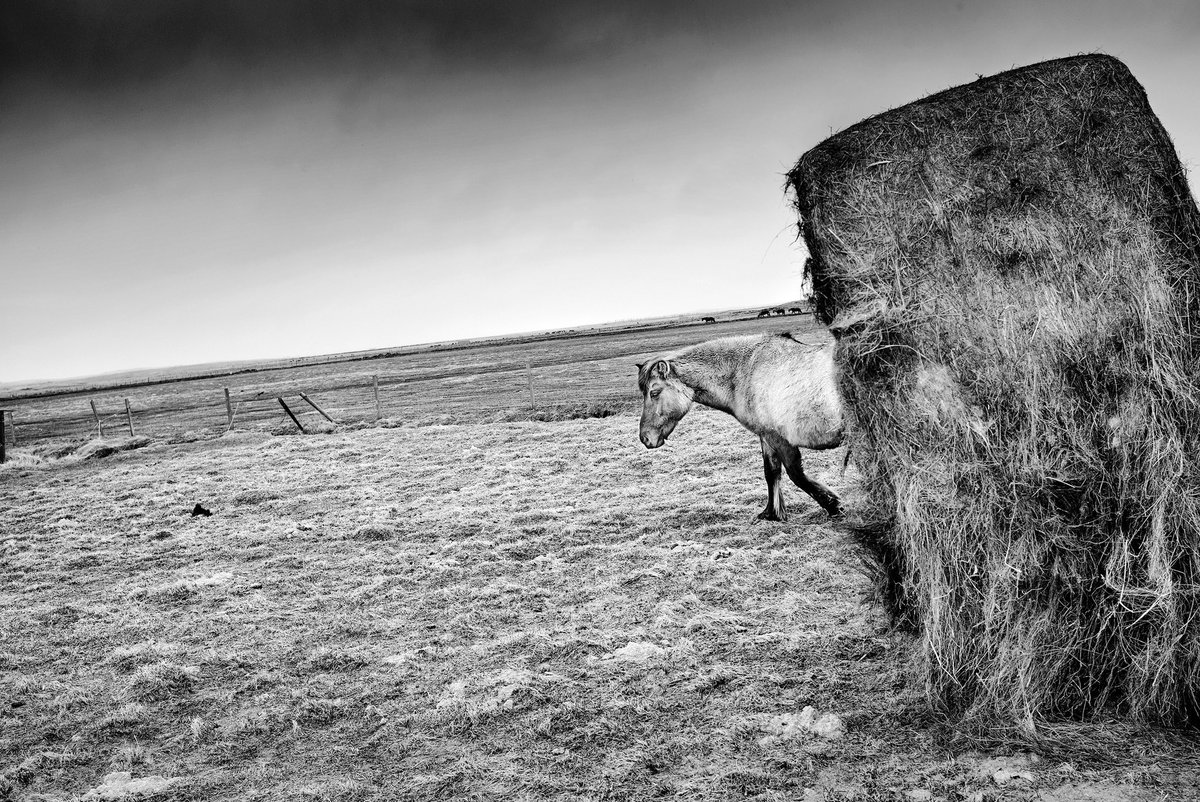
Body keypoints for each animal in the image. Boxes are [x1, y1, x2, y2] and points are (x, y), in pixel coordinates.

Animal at [636, 333, 844, 521]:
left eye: (654, 393)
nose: (645, 437)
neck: (747, 372)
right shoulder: (766, 436)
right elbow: (771, 472)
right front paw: (771, 513)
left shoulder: (779, 438)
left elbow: (796, 474)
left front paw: (834, 506)